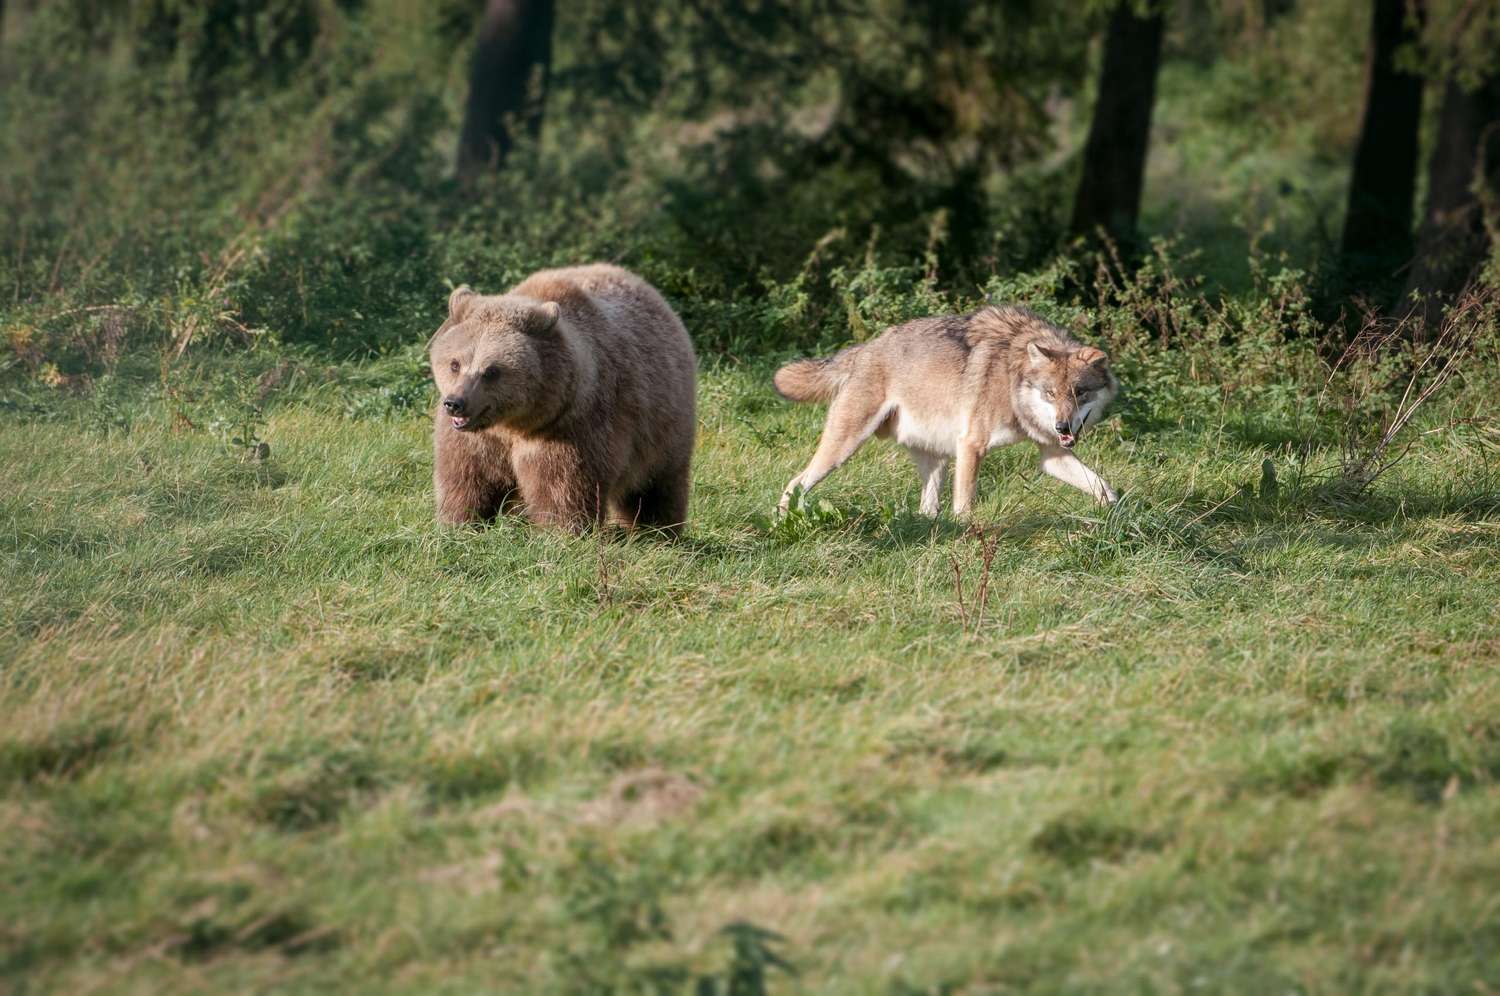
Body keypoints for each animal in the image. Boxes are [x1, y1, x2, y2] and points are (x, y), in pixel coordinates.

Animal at [428, 264, 697, 534]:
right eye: (455, 363)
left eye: (492, 371)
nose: (455, 403)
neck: (514, 423)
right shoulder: (479, 440)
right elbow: (468, 479)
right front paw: (459, 523)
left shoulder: (571, 427)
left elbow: (562, 486)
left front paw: (562, 530)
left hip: (662, 422)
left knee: (656, 486)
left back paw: (657, 530)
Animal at [773, 305, 1119, 517]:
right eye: (1050, 393)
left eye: (1080, 393)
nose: (1062, 427)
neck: (1012, 376)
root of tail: (863, 350)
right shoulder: (971, 445)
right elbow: (965, 505)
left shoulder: (1052, 454)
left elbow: (1104, 488)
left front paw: (1119, 517)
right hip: (843, 449)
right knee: (794, 483)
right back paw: (782, 522)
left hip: (935, 461)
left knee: (927, 510)